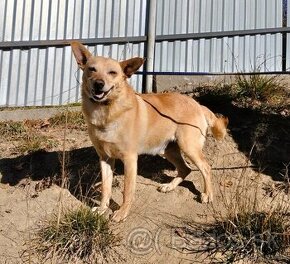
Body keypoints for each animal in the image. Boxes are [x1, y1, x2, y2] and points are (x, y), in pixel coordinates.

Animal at [71, 41, 229, 223]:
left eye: (113, 72)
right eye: (92, 69)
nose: (98, 83)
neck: (106, 111)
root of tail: (198, 104)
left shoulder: (130, 159)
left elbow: (127, 191)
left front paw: (122, 212)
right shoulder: (105, 158)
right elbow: (106, 188)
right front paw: (103, 209)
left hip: (188, 147)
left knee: (206, 167)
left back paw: (207, 194)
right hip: (168, 150)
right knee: (185, 169)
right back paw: (170, 186)